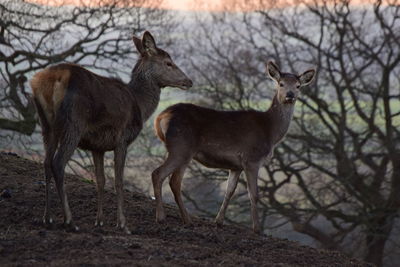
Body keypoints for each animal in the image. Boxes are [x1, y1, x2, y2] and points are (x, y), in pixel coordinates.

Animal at [30, 30, 193, 233]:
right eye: (168, 63)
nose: (189, 81)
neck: (140, 105)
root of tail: (45, 82)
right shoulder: (122, 139)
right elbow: (118, 181)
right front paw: (122, 224)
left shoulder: (97, 146)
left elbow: (100, 180)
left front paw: (99, 221)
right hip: (73, 123)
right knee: (58, 163)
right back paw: (69, 221)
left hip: (47, 125)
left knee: (46, 163)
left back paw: (48, 218)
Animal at [152, 61, 318, 233]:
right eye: (281, 83)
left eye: (298, 85)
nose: (290, 95)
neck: (271, 132)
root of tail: (160, 117)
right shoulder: (252, 159)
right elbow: (254, 194)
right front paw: (257, 229)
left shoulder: (236, 166)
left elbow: (229, 191)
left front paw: (218, 221)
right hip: (181, 147)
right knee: (161, 175)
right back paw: (163, 217)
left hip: (180, 150)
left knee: (173, 181)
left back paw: (185, 219)